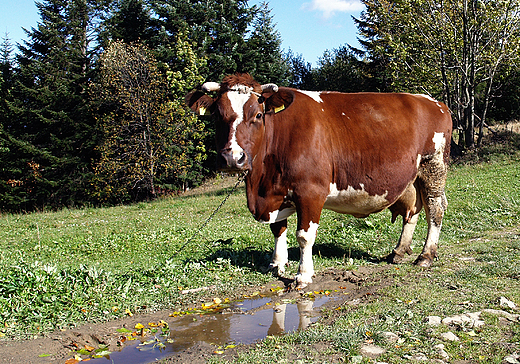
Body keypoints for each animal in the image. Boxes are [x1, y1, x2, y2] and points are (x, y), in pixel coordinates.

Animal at [186, 74, 450, 288]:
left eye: (258, 115)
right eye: (217, 116)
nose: (232, 158)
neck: (261, 186)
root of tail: (434, 102)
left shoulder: (310, 191)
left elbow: (304, 235)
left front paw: (303, 275)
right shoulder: (277, 192)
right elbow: (277, 228)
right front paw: (277, 263)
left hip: (433, 167)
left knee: (435, 210)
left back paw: (426, 256)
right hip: (412, 178)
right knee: (412, 211)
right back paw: (399, 251)